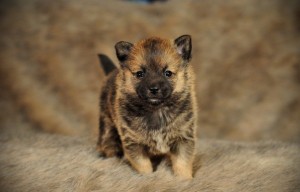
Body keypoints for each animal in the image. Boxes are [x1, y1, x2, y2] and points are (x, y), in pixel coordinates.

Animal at [97, 34, 198, 178]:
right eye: (140, 74)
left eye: (168, 73)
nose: (154, 89)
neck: (157, 109)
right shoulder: (134, 143)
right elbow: (143, 165)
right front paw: (147, 177)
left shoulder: (183, 139)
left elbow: (182, 163)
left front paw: (184, 179)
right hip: (107, 123)